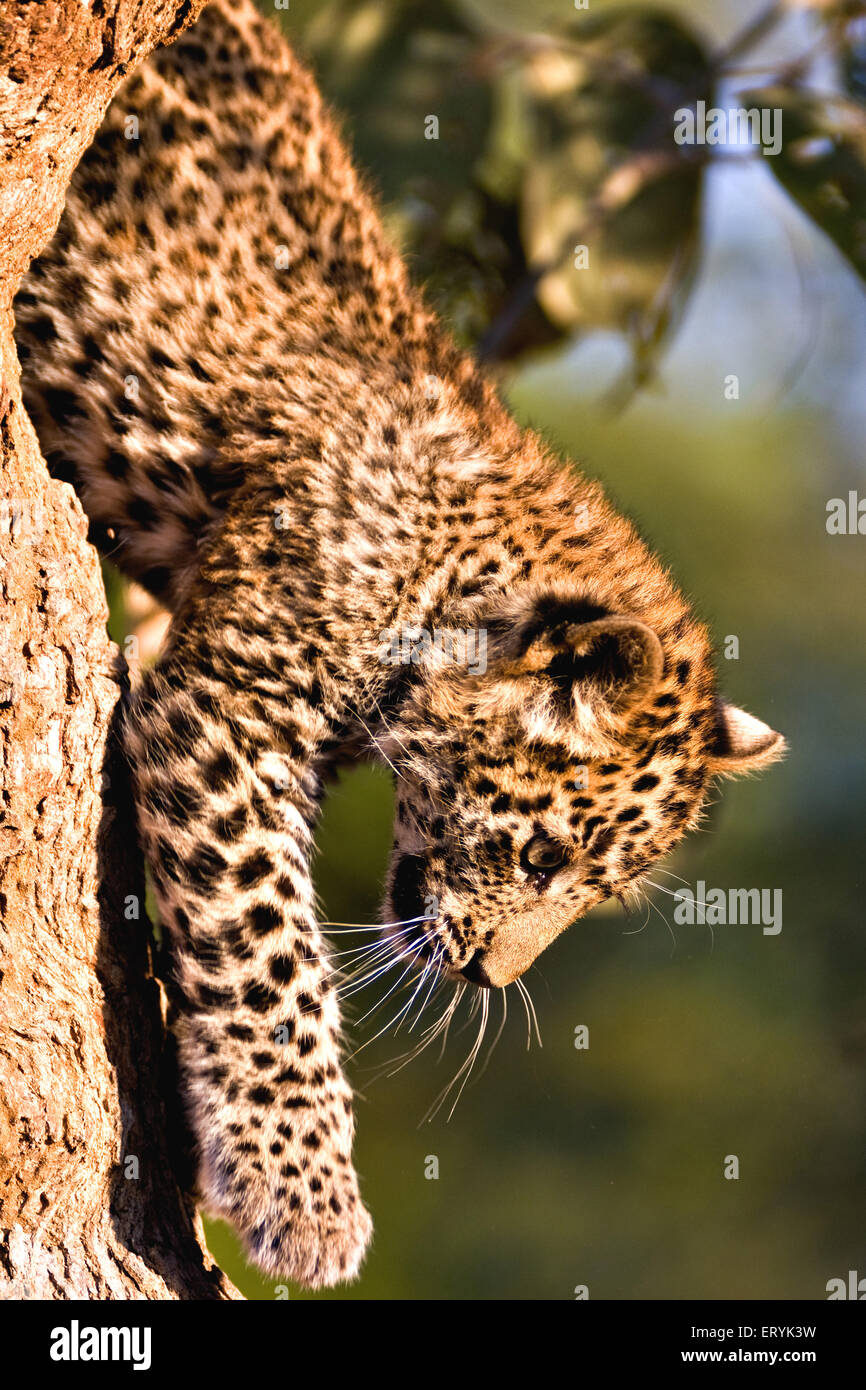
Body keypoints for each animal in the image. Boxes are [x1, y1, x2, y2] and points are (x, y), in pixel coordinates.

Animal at [13, 0, 785, 1289]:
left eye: (597, 891)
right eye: (541, 859)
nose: (490, 977)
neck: (444, 561)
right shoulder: (229, 709)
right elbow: (267, 945)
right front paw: (304, 1195)